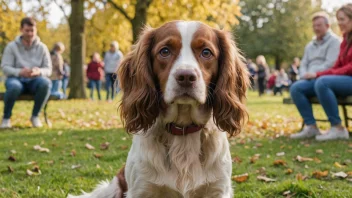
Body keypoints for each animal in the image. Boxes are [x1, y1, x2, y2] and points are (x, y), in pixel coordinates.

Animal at [69, 20, 249, 198]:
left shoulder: (218, 189)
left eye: (206, 52)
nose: (186, 77)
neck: (183, 131)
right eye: (165, 51)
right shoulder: (141, 189)